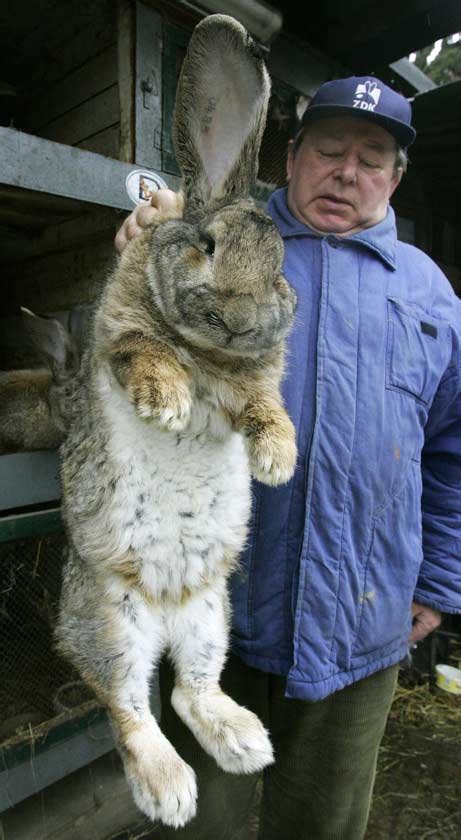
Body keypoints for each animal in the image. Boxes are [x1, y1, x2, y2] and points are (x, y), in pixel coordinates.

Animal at [55, 16, 296, 832]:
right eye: (208, 245)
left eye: (280, 264)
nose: (241, 318)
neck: (207, 354)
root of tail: (163, 612)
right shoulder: (119, 333)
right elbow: (142, 351)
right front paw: (166, 402)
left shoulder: (250, 386)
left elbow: (265, 406)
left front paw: (277, 462)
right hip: (109, 619)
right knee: (130, 710)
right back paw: (169, 790)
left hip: (210, 620)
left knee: (192, 693)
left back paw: (245, 742)